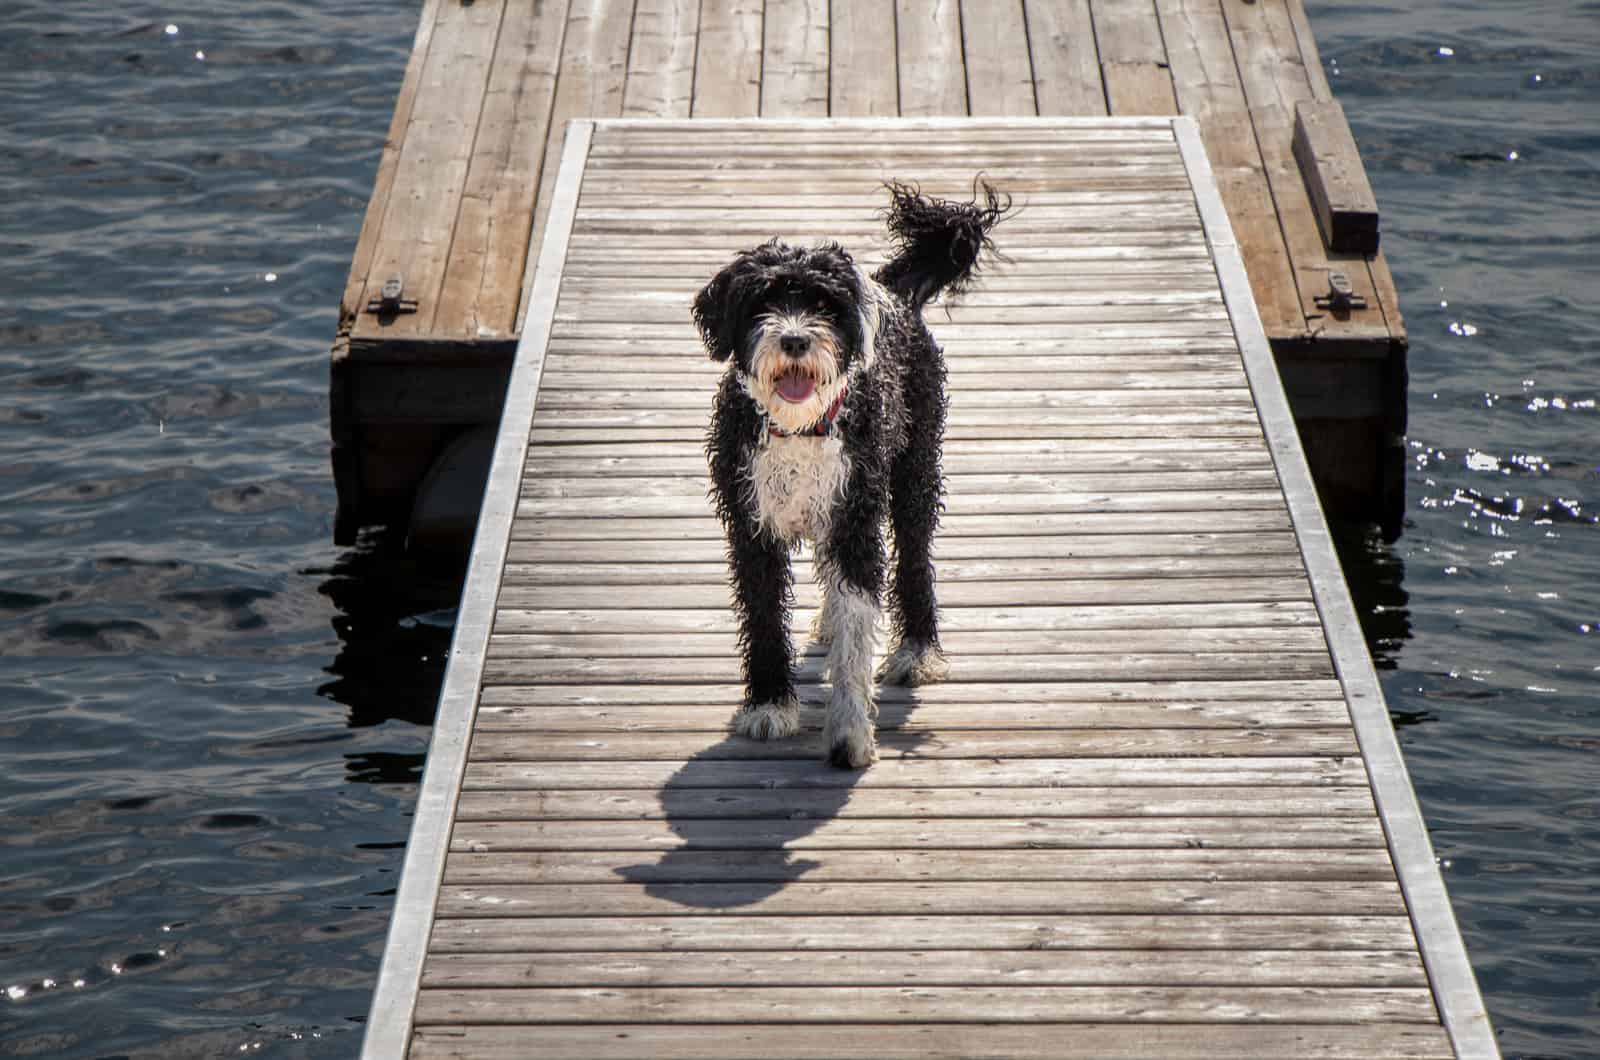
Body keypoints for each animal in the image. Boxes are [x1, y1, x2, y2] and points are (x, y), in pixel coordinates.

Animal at [694, 182, 1004, 771]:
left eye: (824, 305)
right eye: (762, 301)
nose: (795, 340)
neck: (800, 428)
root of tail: (891, 291)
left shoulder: (855, 522)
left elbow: (859, 628)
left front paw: (849, 732)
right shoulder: (750, 526)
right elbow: (764, 617)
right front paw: (769, 706)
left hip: (913, 474)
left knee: (914, 562)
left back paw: (918, 650)